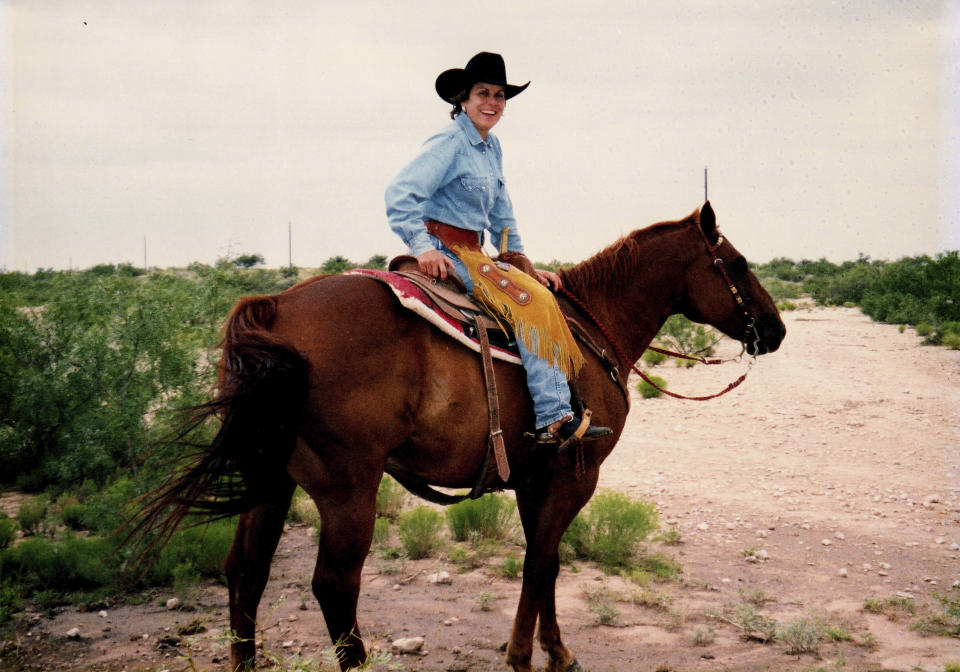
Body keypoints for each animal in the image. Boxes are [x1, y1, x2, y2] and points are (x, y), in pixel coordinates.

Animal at [142, 203, 788, 672]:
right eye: (736, 264)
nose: (776, 329)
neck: (593, 328)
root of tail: (276, 306)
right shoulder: (574, 477)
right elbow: (539, 563)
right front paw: (524, 657)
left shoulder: (534, 478)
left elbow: (547, 564)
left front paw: (557, 652)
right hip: (348, 489)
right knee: (334, 586)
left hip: (270, 479)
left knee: (245, 573)